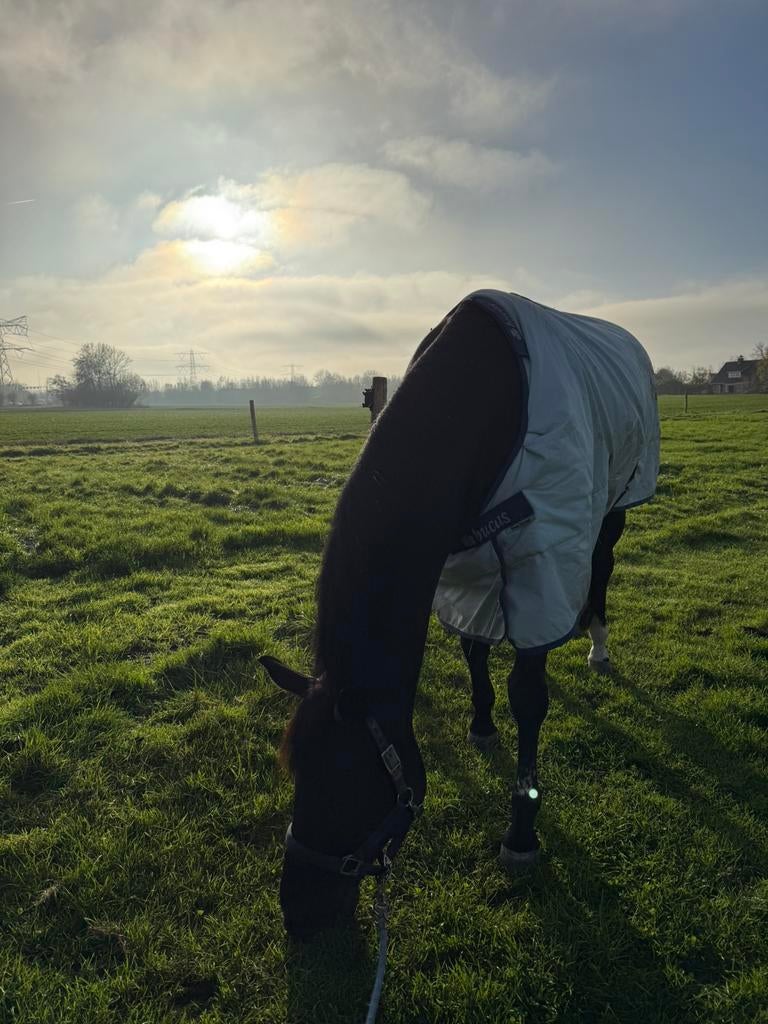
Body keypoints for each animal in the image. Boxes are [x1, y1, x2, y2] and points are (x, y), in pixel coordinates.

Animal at [261, 290, 660, 941]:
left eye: (343, 787)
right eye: (297, 777)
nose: (300, 914)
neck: (473, 406)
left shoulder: (541, 556)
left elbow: (529, 694)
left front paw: (521, 835)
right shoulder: (463, 562)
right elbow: (475, 647)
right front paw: (480, 723)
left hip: (614, 502)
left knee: (601, 567)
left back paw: (597, 643)